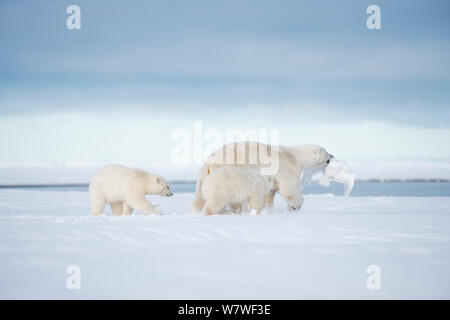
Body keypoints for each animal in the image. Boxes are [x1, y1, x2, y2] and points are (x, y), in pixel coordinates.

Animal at [192, 142, 332, 212]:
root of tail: (210, 160)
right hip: (229, 167)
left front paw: (268, 208)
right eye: (326, 152)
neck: (296, 156)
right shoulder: (287, 166)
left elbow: (270, 193)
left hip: (204, 174)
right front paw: (295, 206)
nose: (332, 156)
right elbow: (289, 189)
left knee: (199, 194)